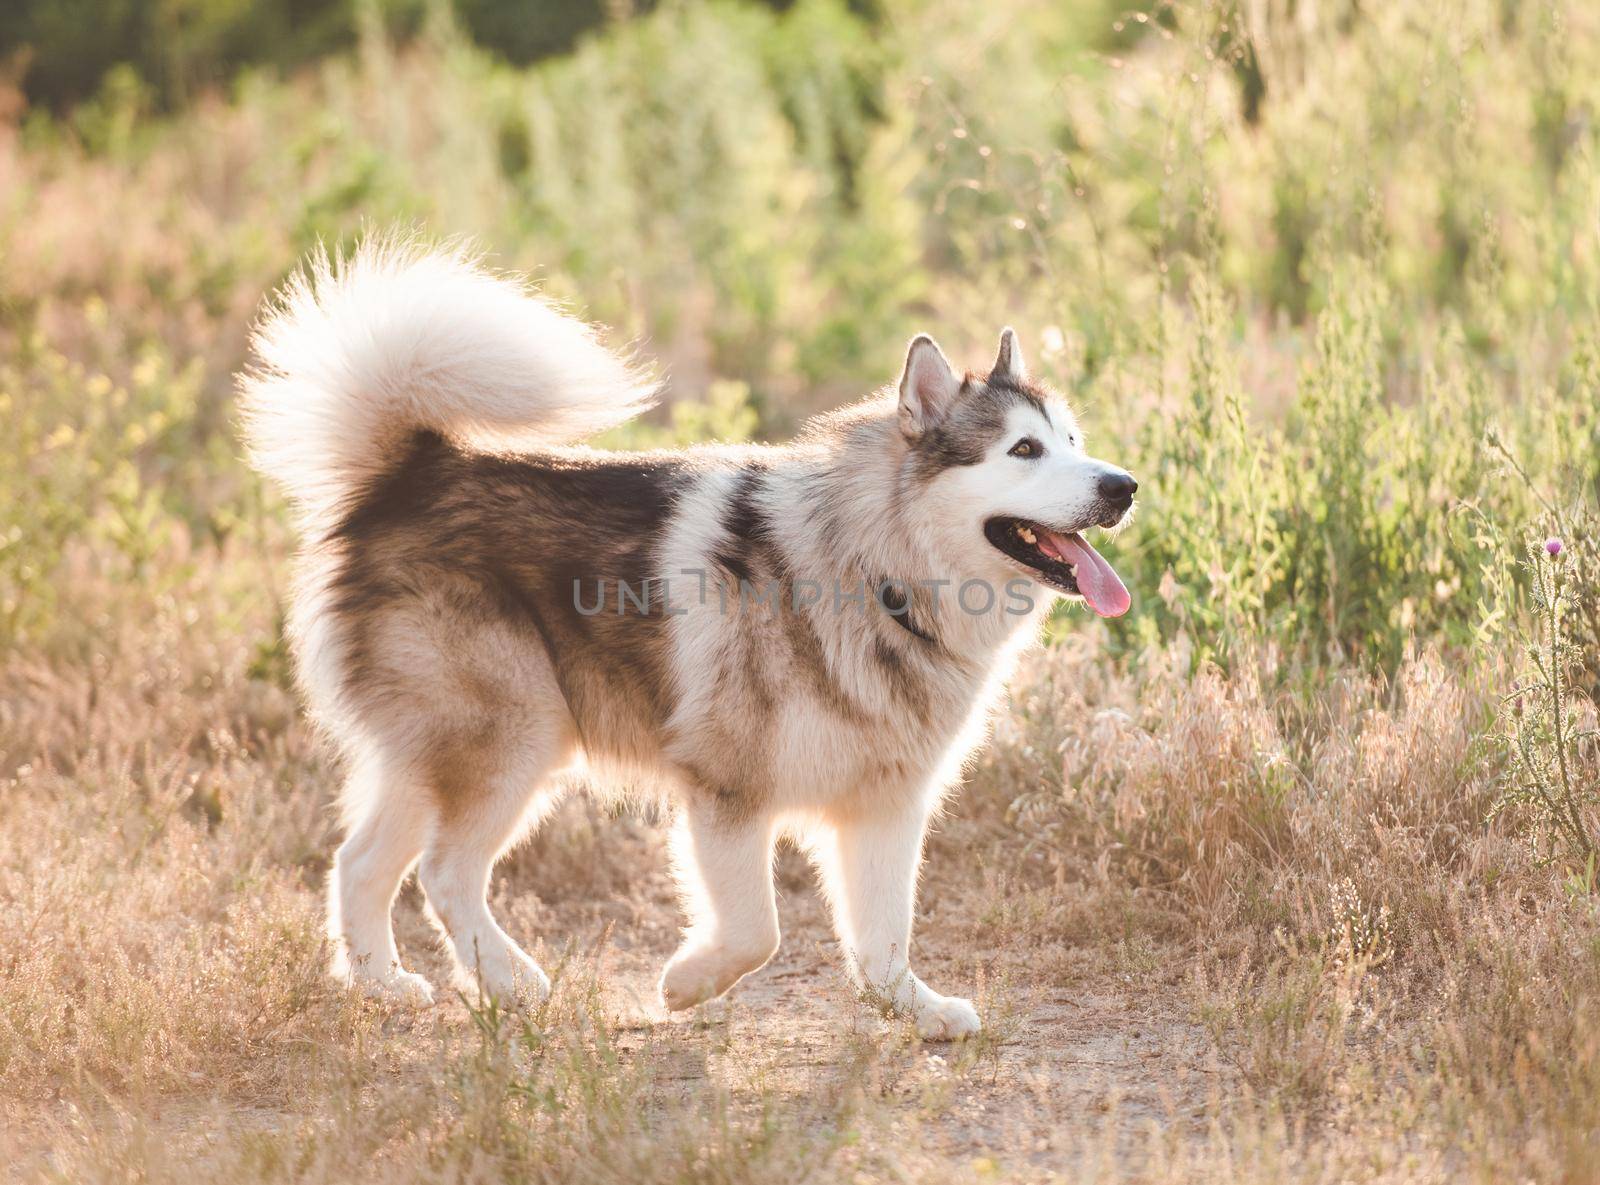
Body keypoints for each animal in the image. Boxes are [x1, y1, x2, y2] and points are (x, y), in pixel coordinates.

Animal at [240, 239, 1139, 1036]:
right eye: (1023, 449)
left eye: (1075, 442)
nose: (1123, 485)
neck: (878, 573)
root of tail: (412, 472)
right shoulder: (726, 792)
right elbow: (757, 932)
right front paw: (686, 983)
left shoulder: (884, 806)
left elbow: (883, 937)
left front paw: (913, 1011)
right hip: (515, 738)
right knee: (443, 870)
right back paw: (510, 981)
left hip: (436, 753)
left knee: (361, 863)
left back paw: (381, 985)